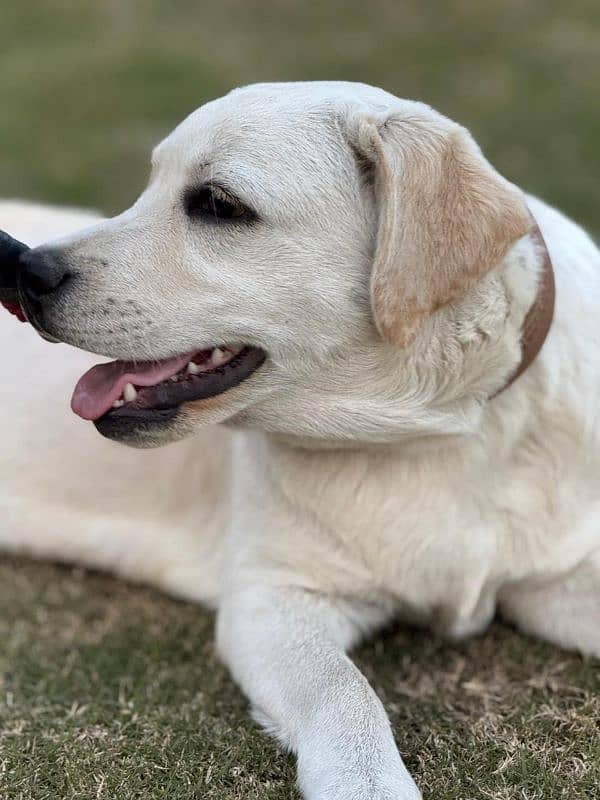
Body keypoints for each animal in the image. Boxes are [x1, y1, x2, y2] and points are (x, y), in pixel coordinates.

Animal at [1, 83, 600, 800]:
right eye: (150, 185)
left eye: (218, 204)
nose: (26, 269)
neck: (439, 432)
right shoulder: (272, 597)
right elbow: (345, 693)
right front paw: (368, 784)